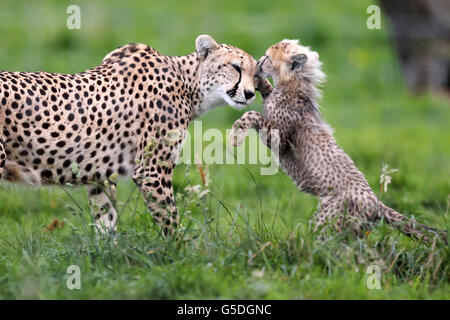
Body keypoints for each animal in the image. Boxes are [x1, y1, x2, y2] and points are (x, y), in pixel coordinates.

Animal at [0, 35, 258, 234]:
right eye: (235, 67)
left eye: (255, 74)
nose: (250, 93)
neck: (188, 85)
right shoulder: (151, 172)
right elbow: (170, 221)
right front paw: (182, 253)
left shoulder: (99, 174)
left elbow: (106, 221)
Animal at [232, 40, 446, 245]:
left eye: (268, 57)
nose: (258, 62)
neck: (295, 86)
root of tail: (376, 202)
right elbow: (267, 92)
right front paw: (256, 81)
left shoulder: (281, 140)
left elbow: (255, 114)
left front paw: (237, 132)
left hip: (326, 223)